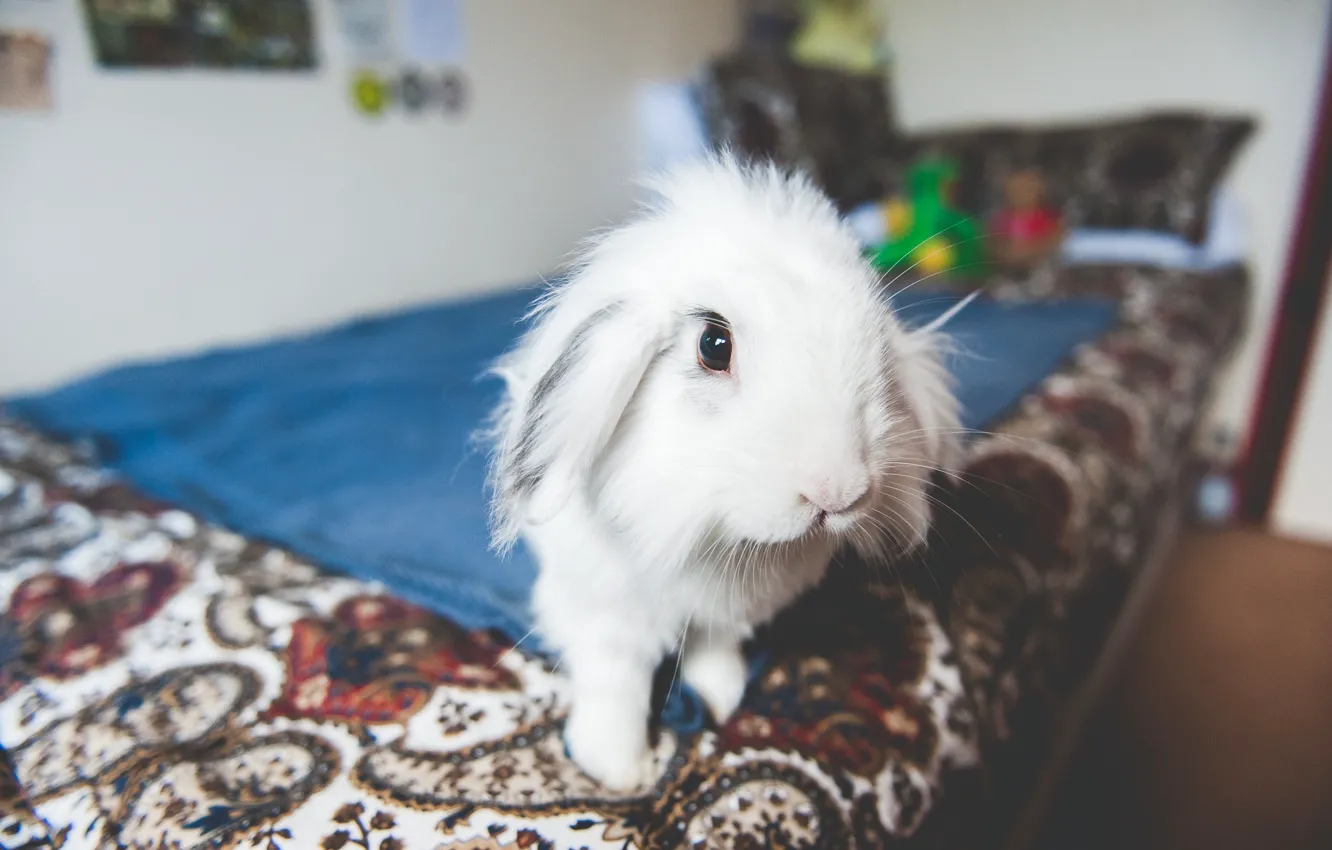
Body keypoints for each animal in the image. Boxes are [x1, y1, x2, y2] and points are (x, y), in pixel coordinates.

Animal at [484, 154, 962, 791]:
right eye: (714, 344)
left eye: (879, 351)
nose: (836, 493)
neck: (716, 540)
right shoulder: (603, 610)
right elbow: (616, 678)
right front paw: (619, 768)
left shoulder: (725, 617)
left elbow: (716, 646)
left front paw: (721, 696)